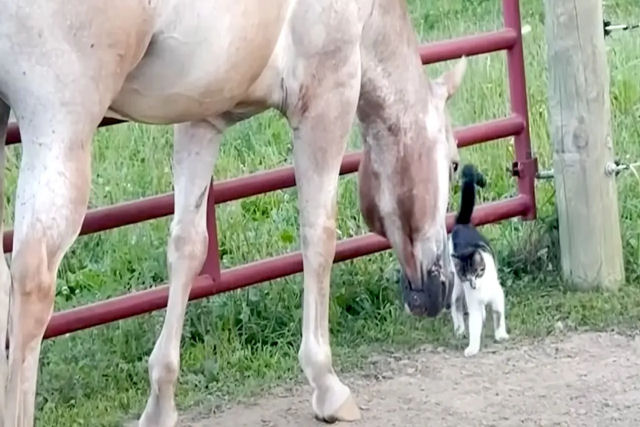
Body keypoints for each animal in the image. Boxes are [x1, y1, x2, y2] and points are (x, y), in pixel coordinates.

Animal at [0, 0, 468, 426]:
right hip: (61, 126)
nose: (442, 286)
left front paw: (161, 404)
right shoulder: (326, 99)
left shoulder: (202, 119)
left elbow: (188, 247)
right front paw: (327, 384)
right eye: (453, 164)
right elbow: (319, 235)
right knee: (32, 283)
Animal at [450, 164, 510, 358]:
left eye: (478, 272)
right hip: (456, 286)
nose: (473, 285)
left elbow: (498, 316)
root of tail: (462, 224)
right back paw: (459, 328)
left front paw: (501, 335)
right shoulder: (473, 304)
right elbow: (474, 326)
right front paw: (472, 347)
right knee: (455, 305)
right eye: (467, 276)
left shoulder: (498, 295)